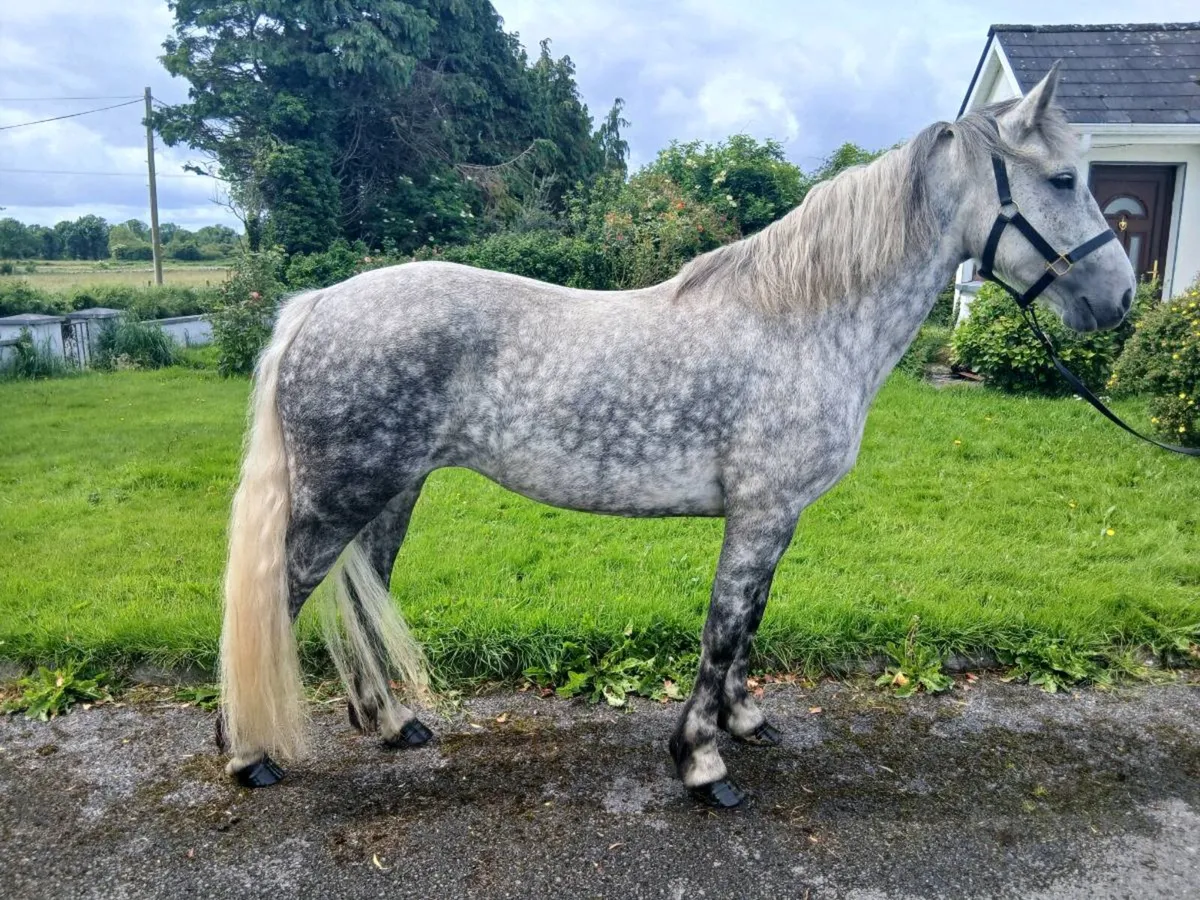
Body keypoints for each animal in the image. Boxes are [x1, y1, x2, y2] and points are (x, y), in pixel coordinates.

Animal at [216, 66, 1136, 807]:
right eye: (1062, 177)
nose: (1120, 299)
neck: (805, 321)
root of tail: (318, 305)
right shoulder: (760, 514)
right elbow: (723, 628)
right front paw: (701, 763)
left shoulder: (778, 518)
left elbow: (751, 621)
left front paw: (743, 720)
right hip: (339, 499)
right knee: (276, 599)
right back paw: (246, 754)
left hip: (393, 494)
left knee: (360, 592)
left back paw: (388, 723)